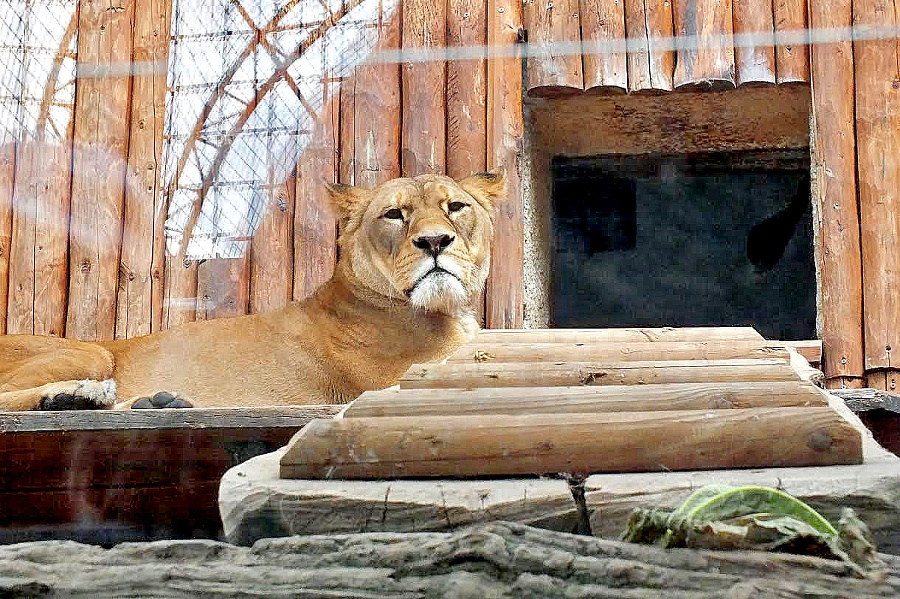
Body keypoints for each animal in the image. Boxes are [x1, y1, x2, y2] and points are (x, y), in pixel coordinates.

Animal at [0, 171, 506, 410]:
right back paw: (80, 396)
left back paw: (147, 402)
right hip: (90, 351)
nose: (435, 242)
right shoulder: (405, 375)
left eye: (455, 207)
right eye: (395, 215)